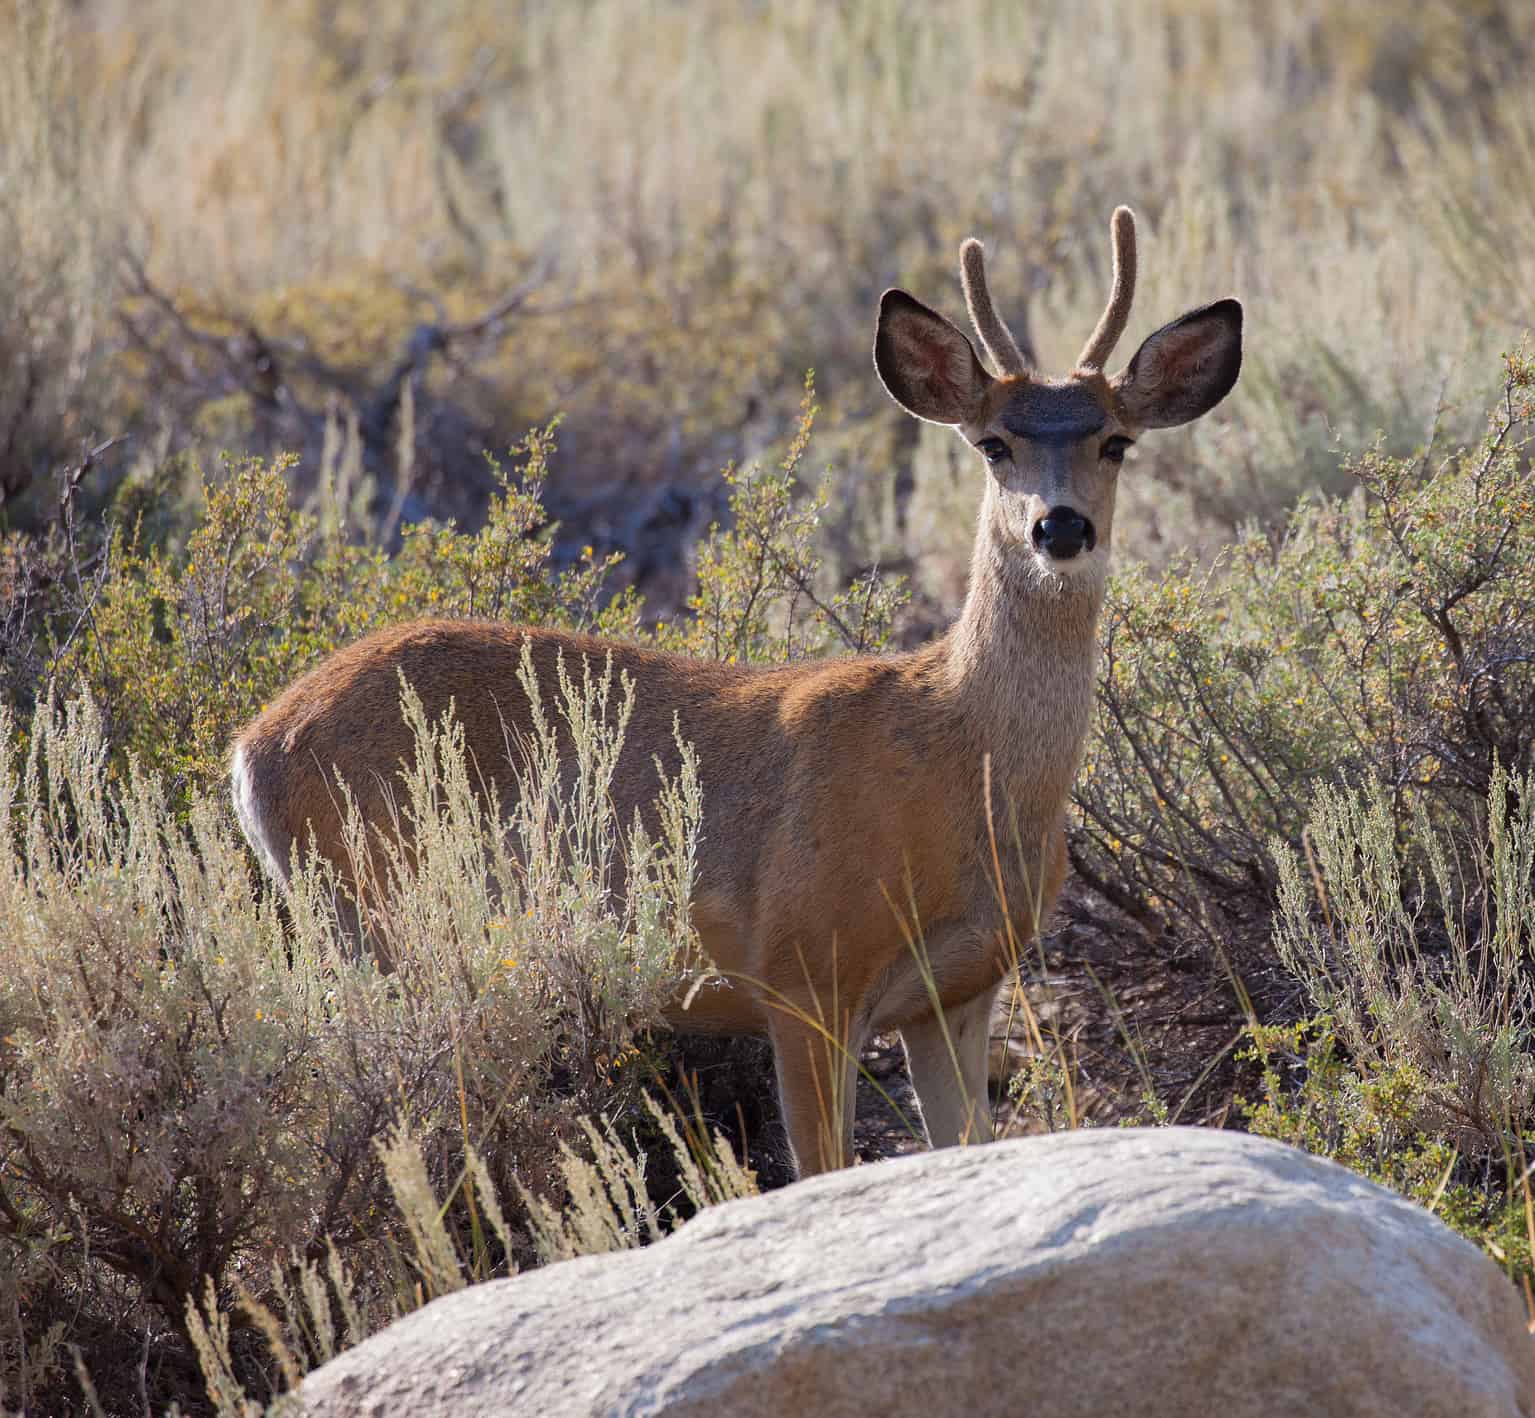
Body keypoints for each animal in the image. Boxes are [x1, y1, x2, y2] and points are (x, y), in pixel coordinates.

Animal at [233, 207, 1240, 1172]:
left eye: (1116, 442)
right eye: (993, 444)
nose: (1057, 527)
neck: (961, 765)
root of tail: (252, 745)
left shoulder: (959, 990)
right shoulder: (803, 970)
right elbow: (821, 1170)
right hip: (379, 910)